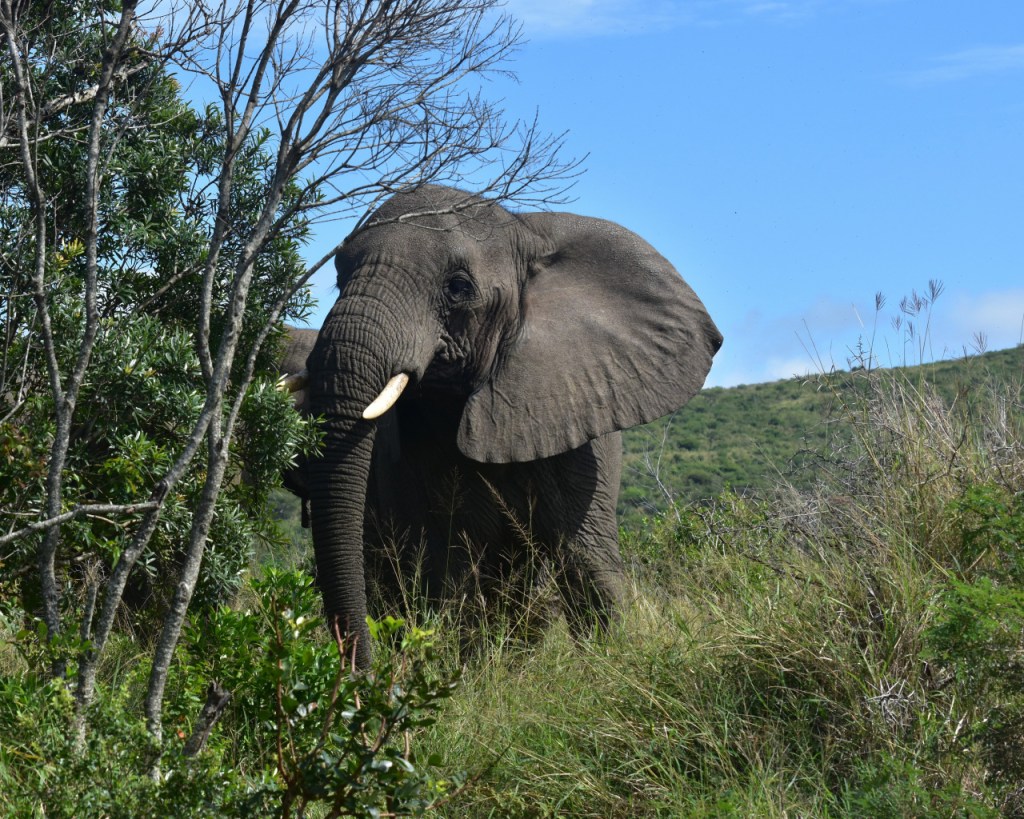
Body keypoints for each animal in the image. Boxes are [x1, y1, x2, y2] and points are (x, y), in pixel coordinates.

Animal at [281, 185, 722, 668]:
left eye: (458, 287)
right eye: (339, 278)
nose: (360, 672)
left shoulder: (580, 409)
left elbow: (585, 557)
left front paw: (610, 663)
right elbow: (447, 562)